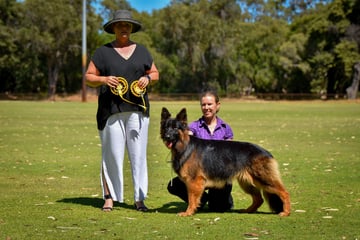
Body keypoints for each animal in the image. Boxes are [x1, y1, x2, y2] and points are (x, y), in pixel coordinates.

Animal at [160, 108, 290, 217]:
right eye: (166, 127)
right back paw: (248, 211)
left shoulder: (194, 181)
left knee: (284, 192)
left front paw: (188, 212)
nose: (167, 136)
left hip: (263, 179)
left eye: (175, 128)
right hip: (247, 183)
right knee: (259, 199)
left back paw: (286, 212)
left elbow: (192, 199)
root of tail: (266, 152)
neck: (185, 146)